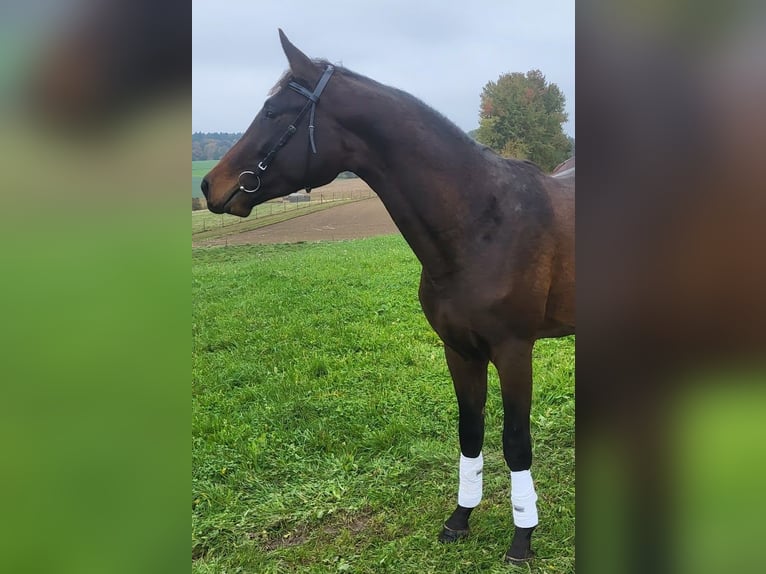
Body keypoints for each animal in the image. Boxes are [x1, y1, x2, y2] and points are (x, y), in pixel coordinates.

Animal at [201, 29, 572, 564]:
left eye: (272, 111)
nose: (211, 184)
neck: (482, 221)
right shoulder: (460, 350)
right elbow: (470, 432)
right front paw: (460, 518)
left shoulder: (514, 350)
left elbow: (516, 441)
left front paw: (522, 537)